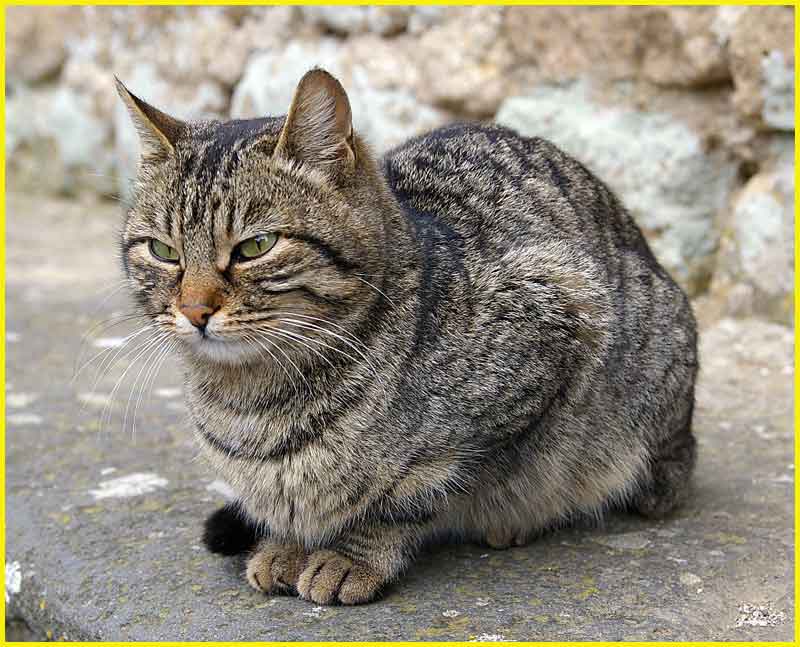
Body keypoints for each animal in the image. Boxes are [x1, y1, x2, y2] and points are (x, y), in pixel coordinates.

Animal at [115, 69, 696, 608]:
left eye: (256, 246)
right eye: (163, 251)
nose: (193, 310)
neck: (251, 402)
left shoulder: (558, 319)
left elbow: (408, 494)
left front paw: (350, 554)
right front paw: (287, 543)